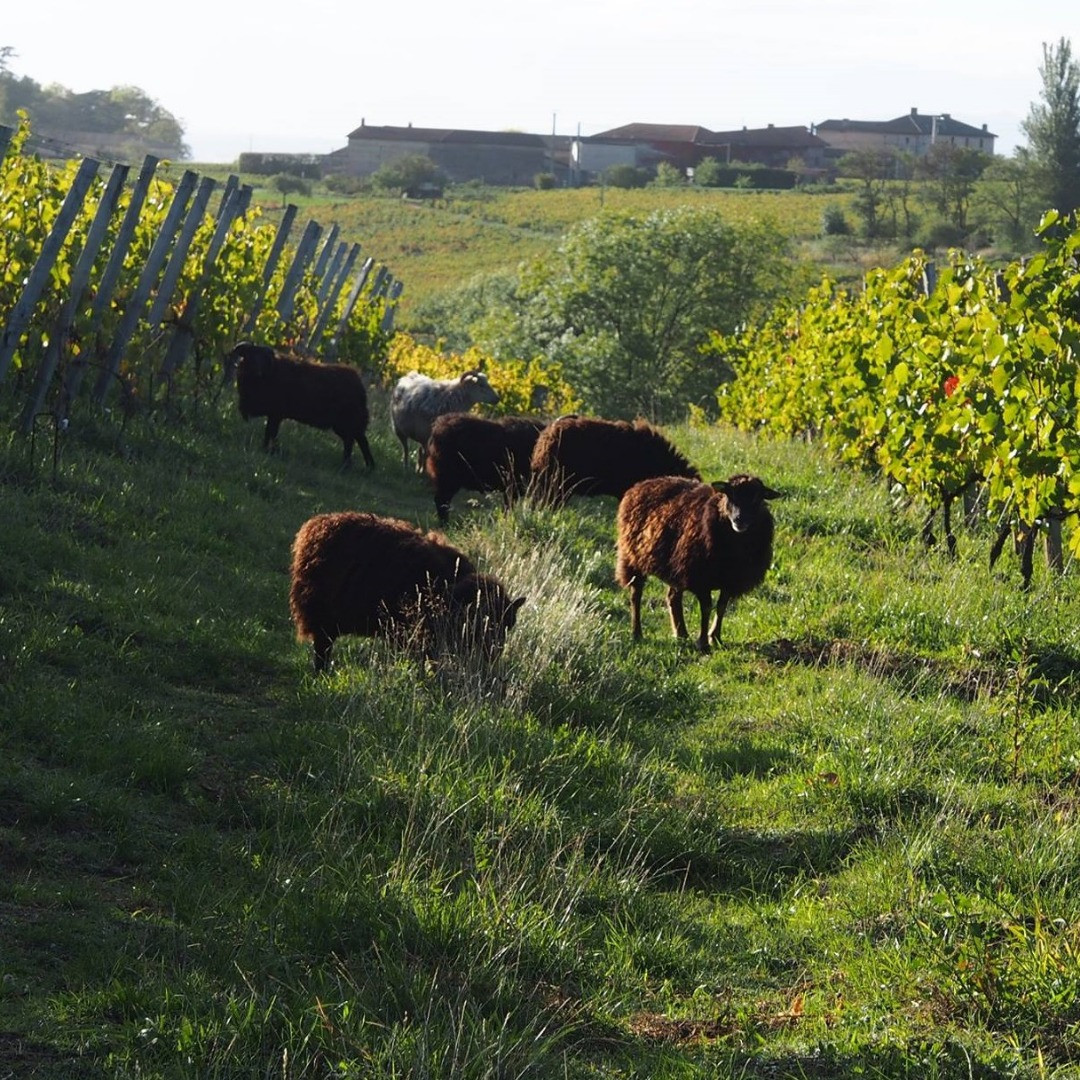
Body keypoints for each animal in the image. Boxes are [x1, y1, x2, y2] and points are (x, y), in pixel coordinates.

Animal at [231, 341, 375, 468]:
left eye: (264, 359)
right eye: (250, 355)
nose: (258, 372)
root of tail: (360, 387)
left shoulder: (276, 413)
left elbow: (271, 432)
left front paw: (268, 450)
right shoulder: (274, 414)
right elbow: (269, 432)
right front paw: (268, 449)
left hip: (348, 422)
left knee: (354, 442)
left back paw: (348, 466)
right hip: (347, 425)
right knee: (359, 441)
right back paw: (367, 467)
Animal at [287, 509, 522, 669]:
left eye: (507, 626)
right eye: (485, 622)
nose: (493, 656)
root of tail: (315, 526)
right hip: (321, 616)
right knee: (322, 649)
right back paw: (322, 673)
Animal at [617, 475, 777, 656]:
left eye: (757, 498)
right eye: (730, 494)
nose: (739, 520)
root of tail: (644, 483)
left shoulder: (730, 581)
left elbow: (721, 607)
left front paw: (716, 638)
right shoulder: (700, 578)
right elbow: (706, 608)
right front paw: (703, 643)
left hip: (677, 567)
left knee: (673, 597)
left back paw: (681, 634)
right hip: (633, 557)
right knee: (636, 595)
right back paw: (637, 633)